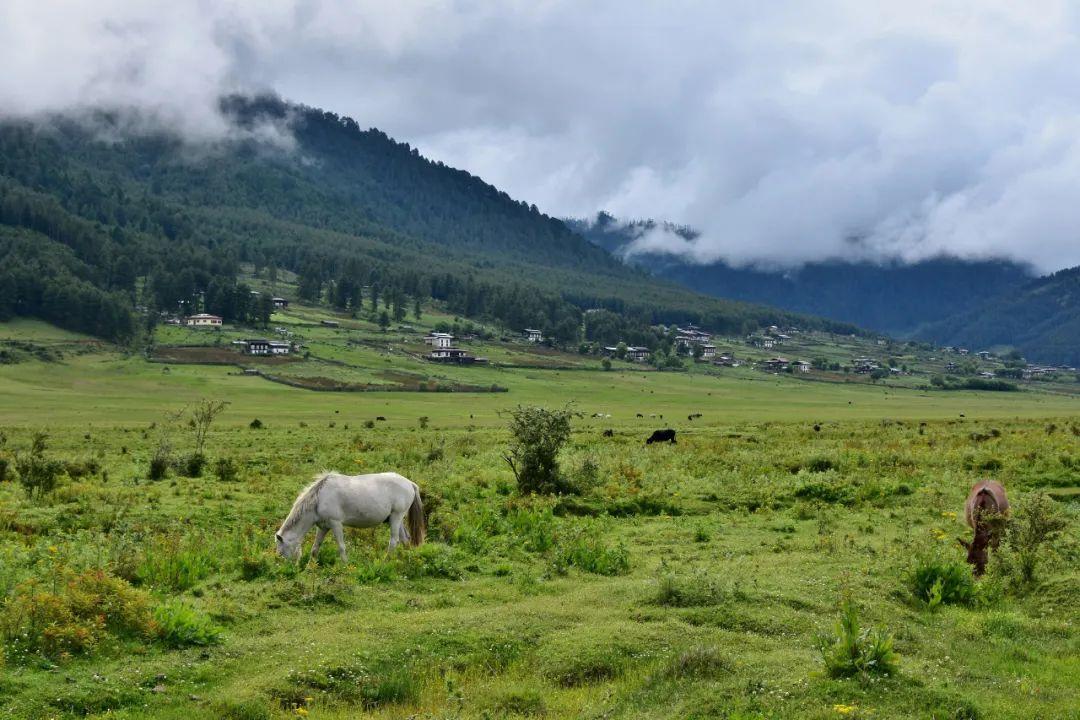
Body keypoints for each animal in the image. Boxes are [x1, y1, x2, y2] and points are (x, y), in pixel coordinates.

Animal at [274, 472, 425, 561]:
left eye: (281, 552)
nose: (287, 569)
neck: (319, 498)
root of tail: (410, 483)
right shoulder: (323, 527)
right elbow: (315, 548)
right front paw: (310, 566)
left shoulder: (335, 523)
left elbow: (341, 546)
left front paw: (345, 565)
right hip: (396, 519)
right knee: (405, 539)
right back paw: (407, 559)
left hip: (396, 517)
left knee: (394, 541)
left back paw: (385, 561)